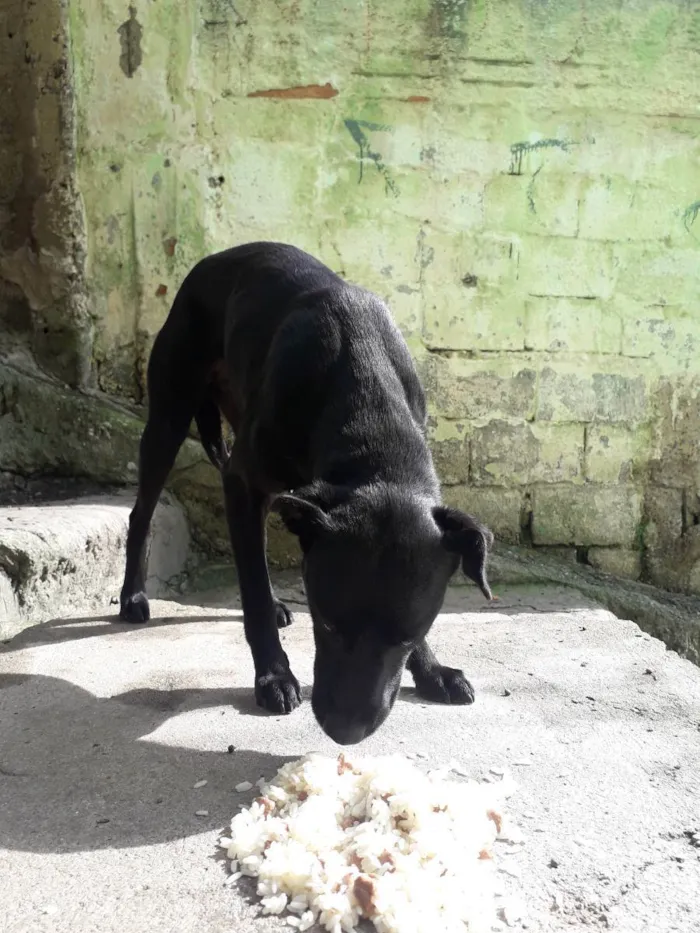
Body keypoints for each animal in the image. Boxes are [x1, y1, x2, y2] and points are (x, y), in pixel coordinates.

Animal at [119, 240, 492, 744]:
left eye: (407, 637)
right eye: (328, 623)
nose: (344, 731)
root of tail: (214, 258)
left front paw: (432, 670)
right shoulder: (243, 482)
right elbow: (254, 590)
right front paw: (274, 675)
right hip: (169, 416)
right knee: (143, 513)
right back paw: (133, 597)